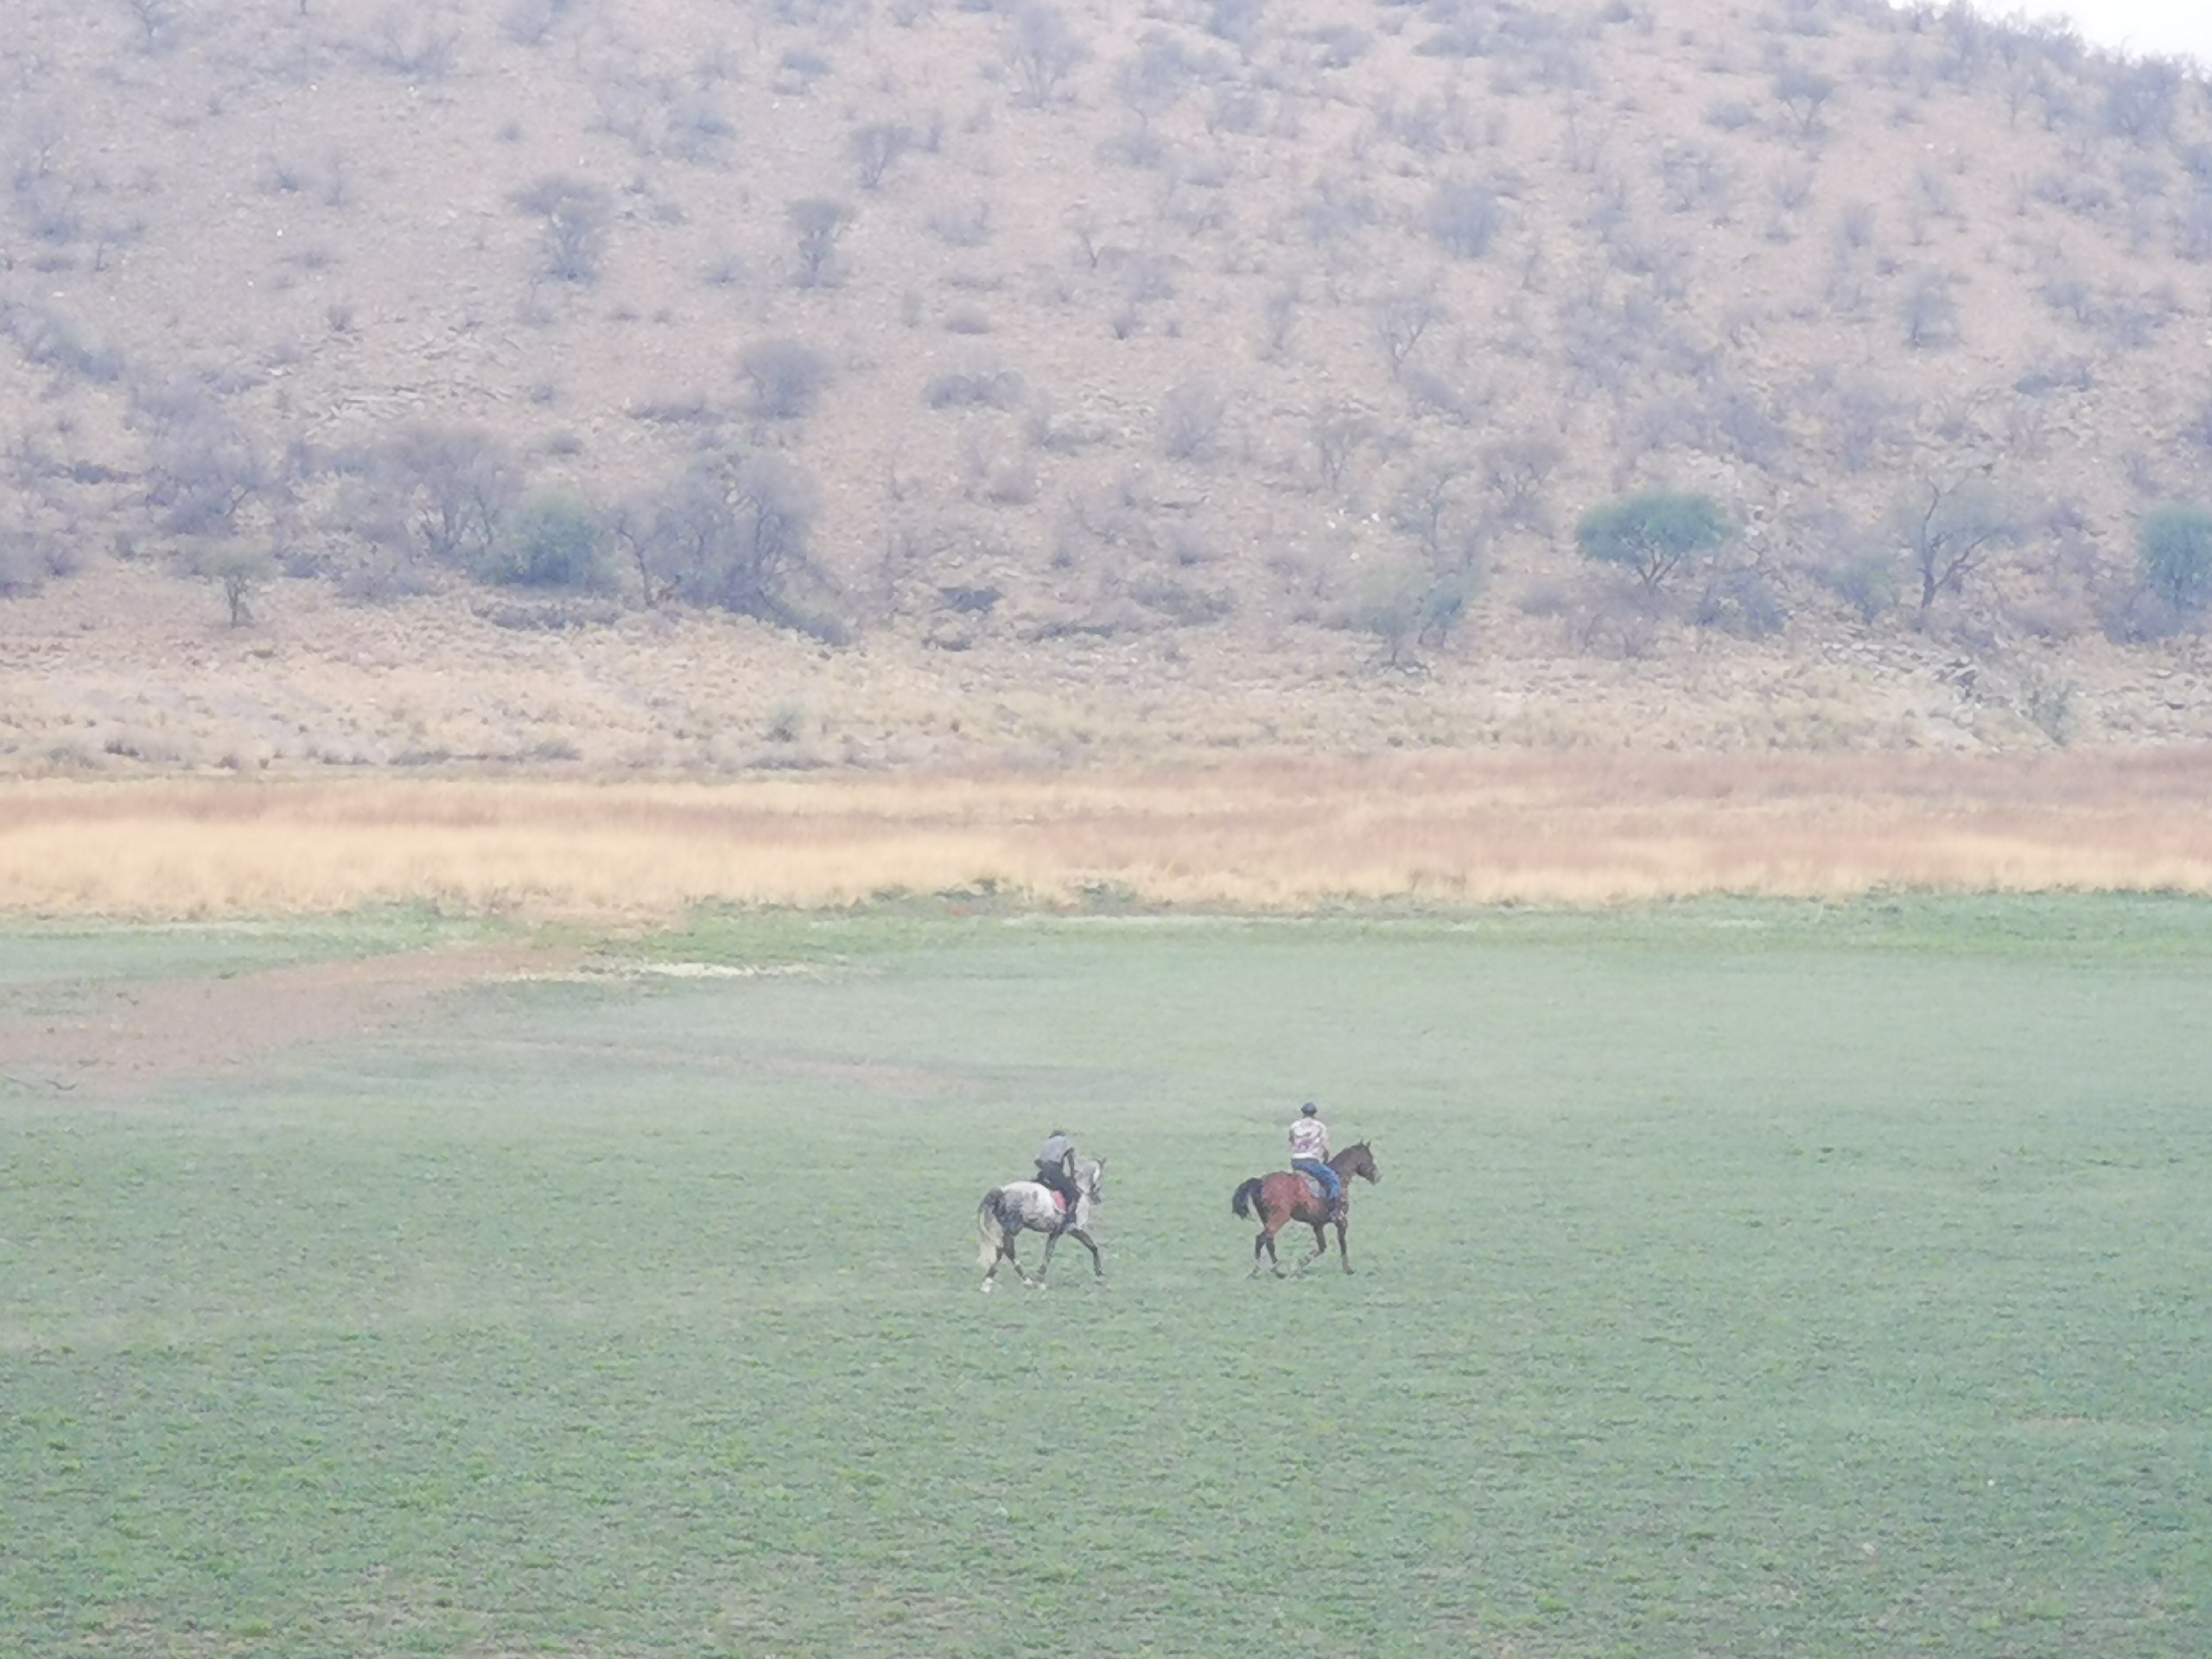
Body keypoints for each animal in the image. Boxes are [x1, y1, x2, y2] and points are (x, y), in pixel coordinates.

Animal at [1238, 1141, 1371, 1282]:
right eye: (1370, 1158)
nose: (1377, 1176)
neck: (1339, 1175)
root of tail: (1261, 1182)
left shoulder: (1318, 1224)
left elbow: (1321, 1248)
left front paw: (1298, 1269)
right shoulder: (1341, 1221)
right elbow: (1342, 1243)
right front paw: (1348, 1270)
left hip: (1267, 1219)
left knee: (1267, 1241)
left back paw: (1267, 1271)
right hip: (1279, 1218)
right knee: (1262, 1239)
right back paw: (1269, 1271)